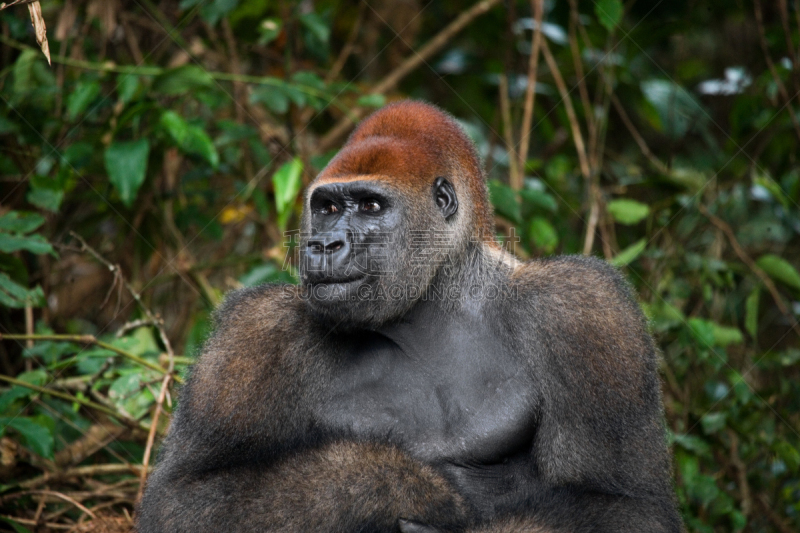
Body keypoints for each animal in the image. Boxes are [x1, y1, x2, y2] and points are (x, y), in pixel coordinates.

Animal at [139, 101, 680, 532]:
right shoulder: (258, 330)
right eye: (326, 207)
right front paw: (400, 485)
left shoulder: (583, 309)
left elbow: (627, 503)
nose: (322, 244)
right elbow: (187, 498)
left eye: (370, 205)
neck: (431, 306)